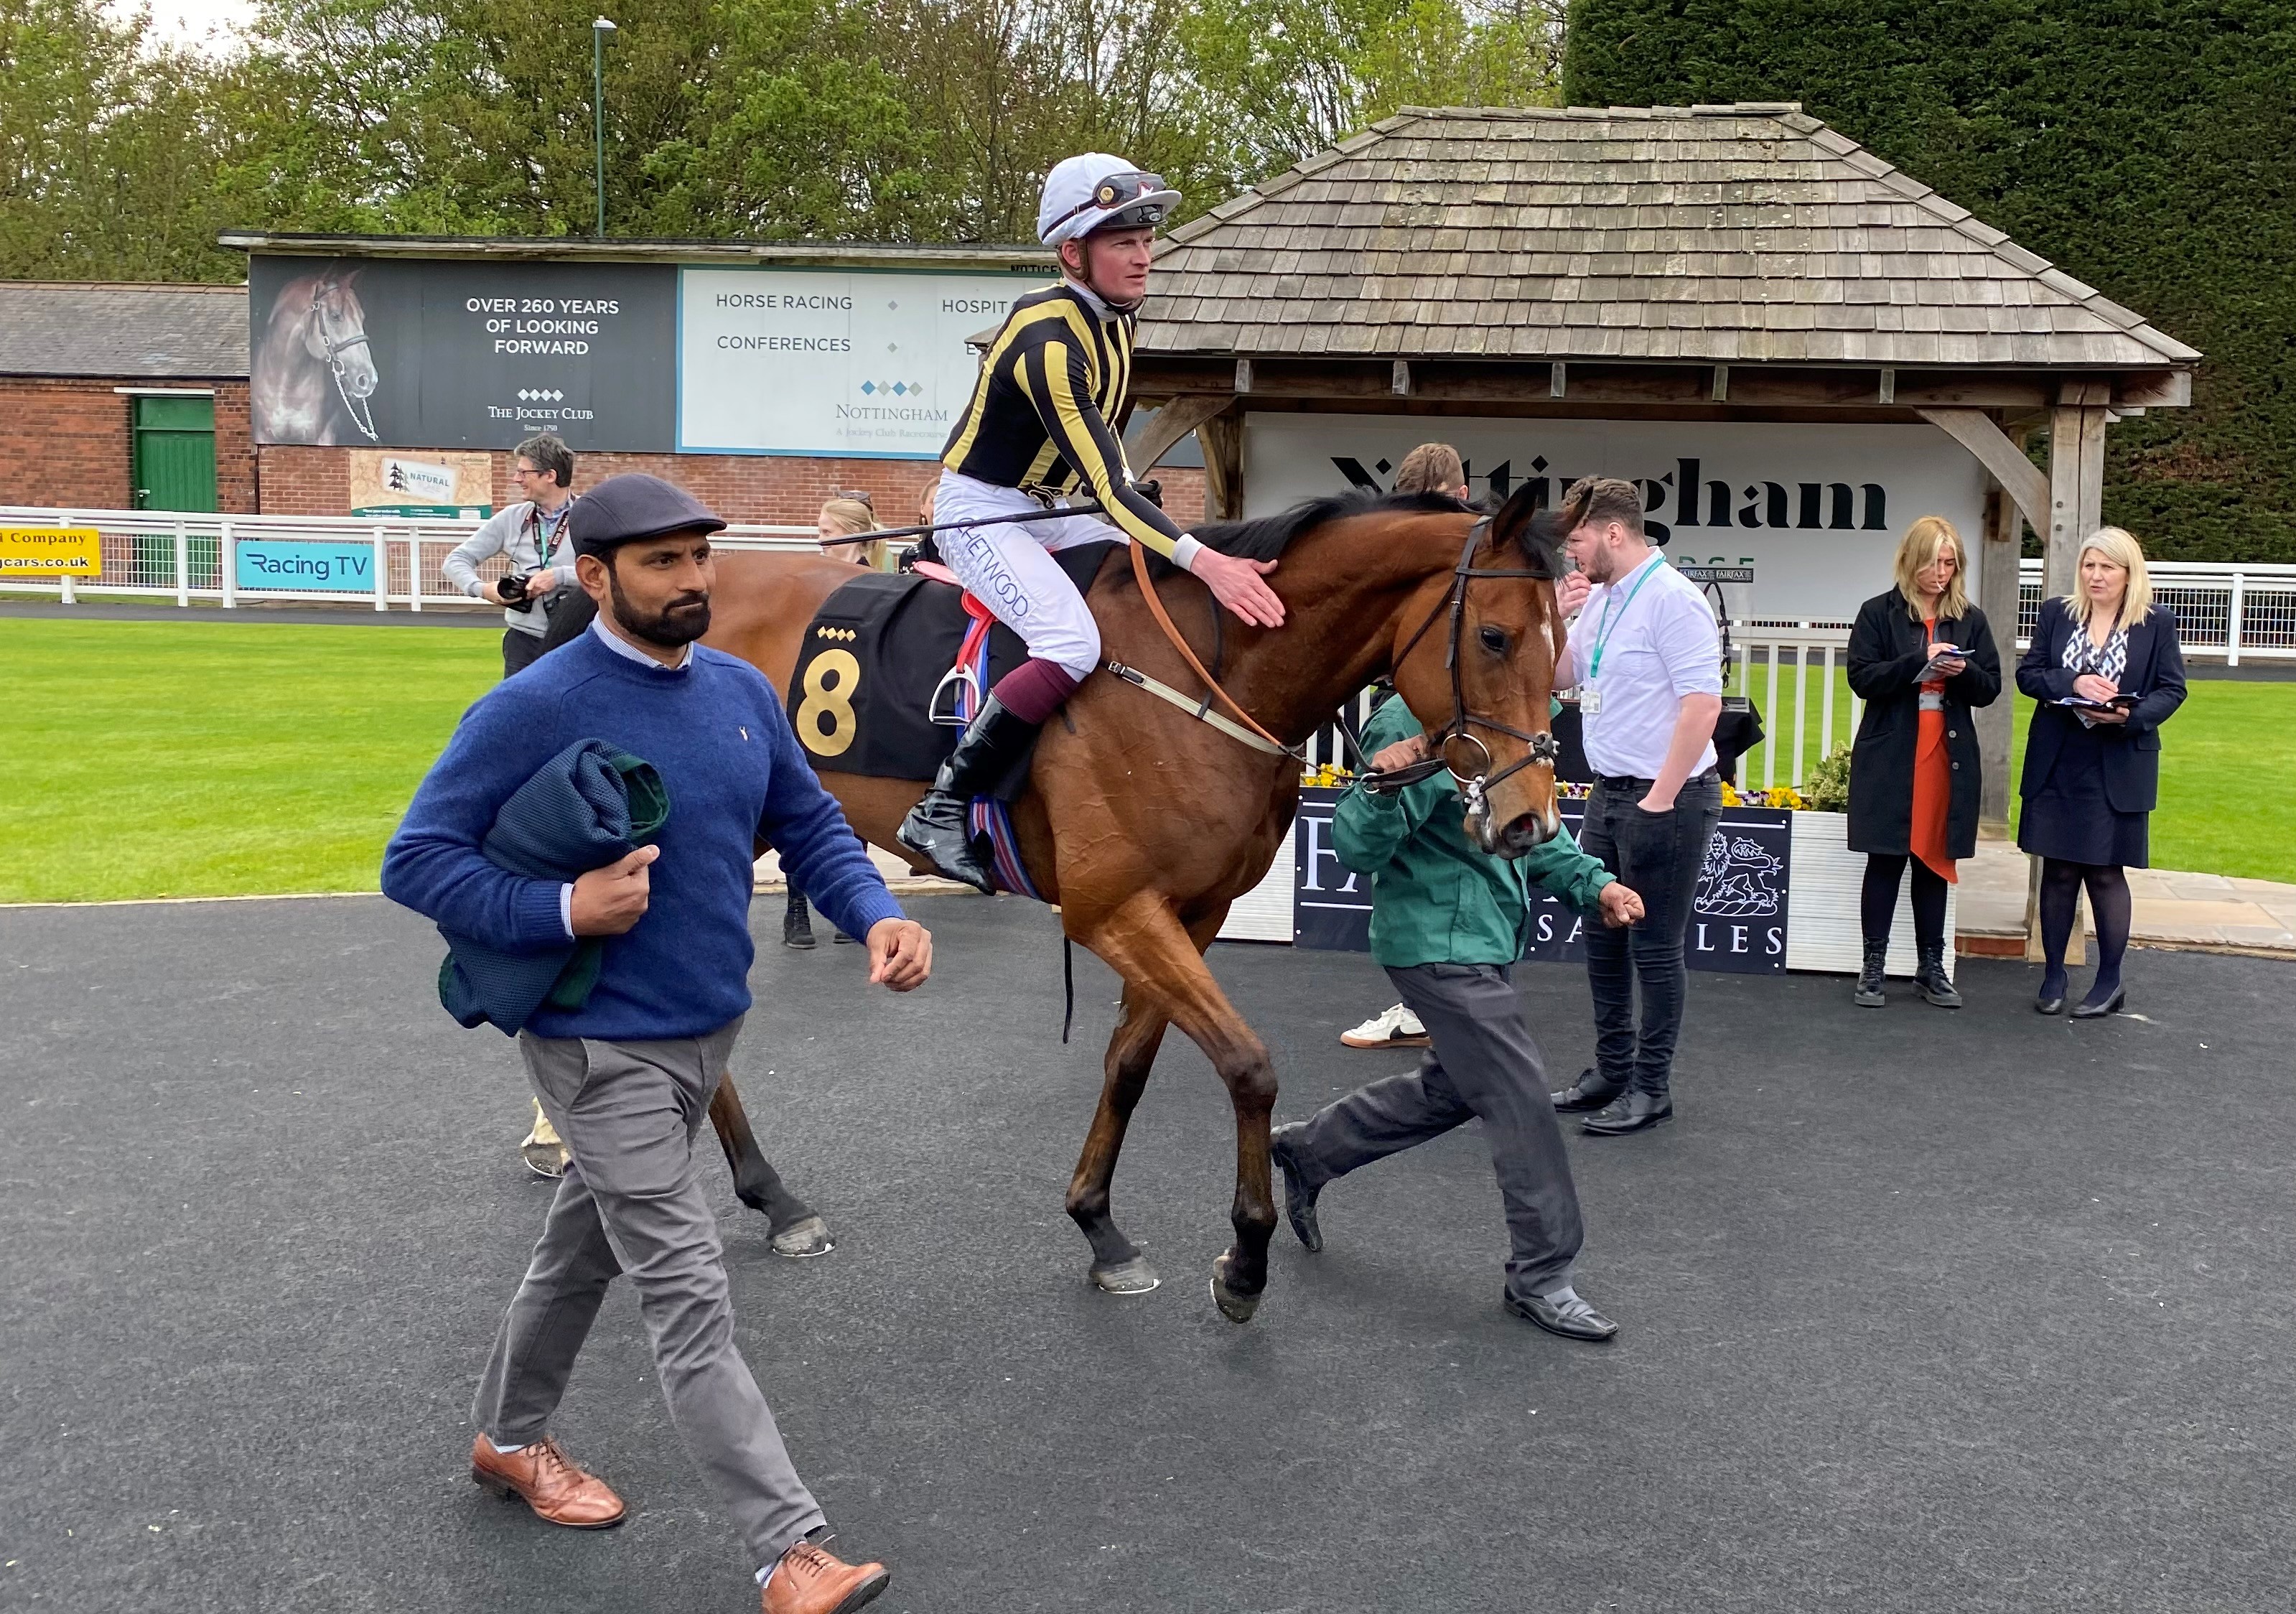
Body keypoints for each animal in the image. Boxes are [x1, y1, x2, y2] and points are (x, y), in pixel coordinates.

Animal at [253, 266, 378, 445]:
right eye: (335, 316)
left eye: (362, 317)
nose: (369, 380)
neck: (287, 388)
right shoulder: (263, 436)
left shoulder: (323, 437)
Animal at [706, 486, 1561, 1322]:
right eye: (1494, 636)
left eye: (1559, 648)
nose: (1531, 820)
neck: (1211, 675)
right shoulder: (1114, 910)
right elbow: (1248, 1064)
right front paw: (1247, 1258)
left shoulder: (1192, 913)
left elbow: (1129, 1064)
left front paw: (1099, 1225)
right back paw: (770, 1196)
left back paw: (773, 1196)